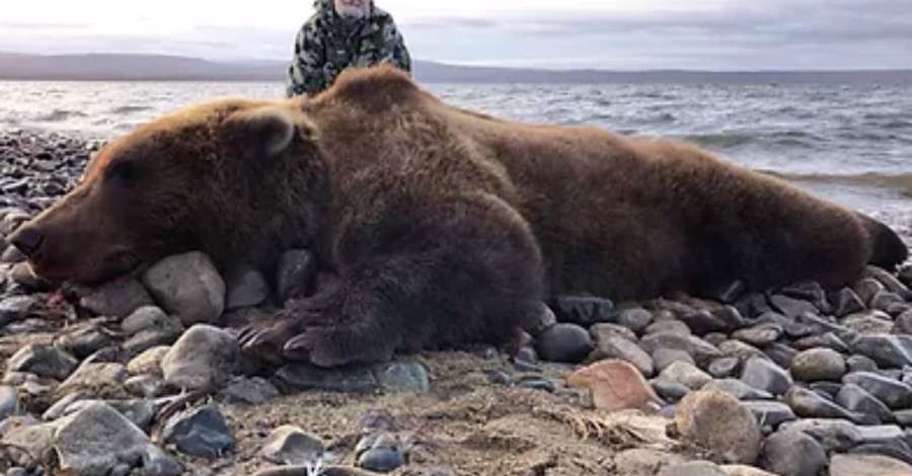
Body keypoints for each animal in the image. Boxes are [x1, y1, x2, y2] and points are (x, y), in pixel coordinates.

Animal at [10, 65, 908, 367]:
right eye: (93, 166)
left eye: (122, 169)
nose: (30, 234)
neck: (314, 175)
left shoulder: (413, 162)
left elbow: (488, 244)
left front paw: (296, 327)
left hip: (719, 196)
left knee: (809, 226)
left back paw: (881, 234)